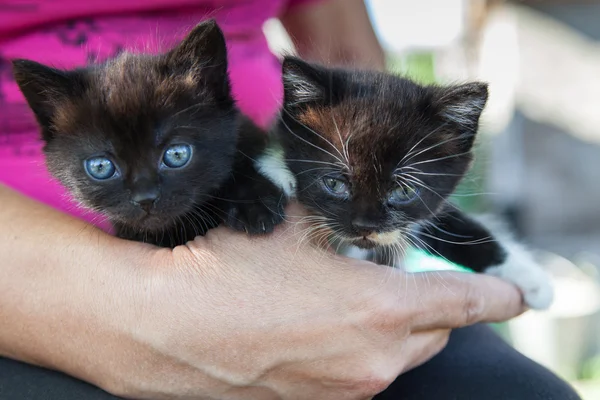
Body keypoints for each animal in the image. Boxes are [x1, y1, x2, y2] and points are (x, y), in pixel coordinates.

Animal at [258, 57, 552, 310]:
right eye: (334, 183)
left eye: (404, 190)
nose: (365, 226)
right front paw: (274, 173)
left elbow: (461, 229)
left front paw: (532, 278)